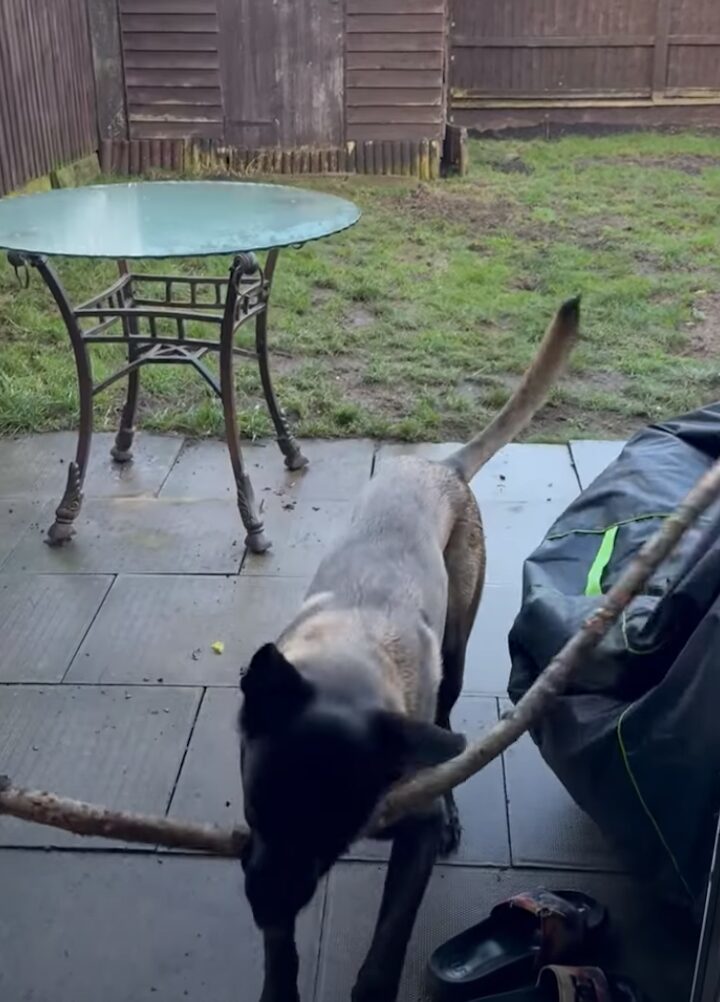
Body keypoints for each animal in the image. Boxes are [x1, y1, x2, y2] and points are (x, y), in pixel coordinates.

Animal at [240, 296, 580, 1002]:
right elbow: (281, 951)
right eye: (255, 809)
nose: (266, 904)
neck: (349, 656)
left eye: (334, 834)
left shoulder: (411, 838)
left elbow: (387, 947)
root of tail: (441, 467)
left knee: (448, 720)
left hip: (458, 642)